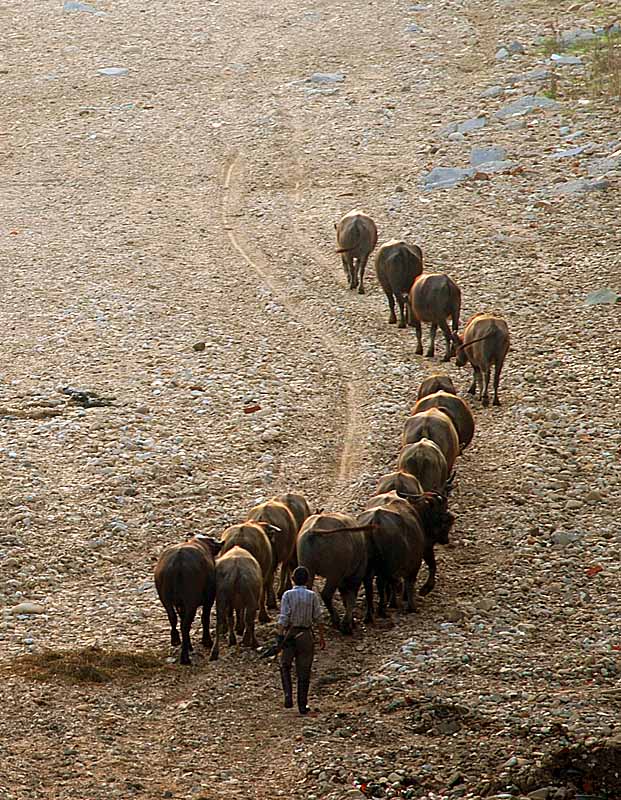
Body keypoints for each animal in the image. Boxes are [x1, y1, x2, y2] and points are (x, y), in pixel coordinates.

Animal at [154, 536, 222, 664]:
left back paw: (177, 641)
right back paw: (185, 657)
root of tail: (177, 561)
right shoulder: (209, 600)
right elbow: (205, 618)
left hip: (166, 599)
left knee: (174, 618)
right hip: (190, 602)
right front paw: (207, 641)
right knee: (185, 625)